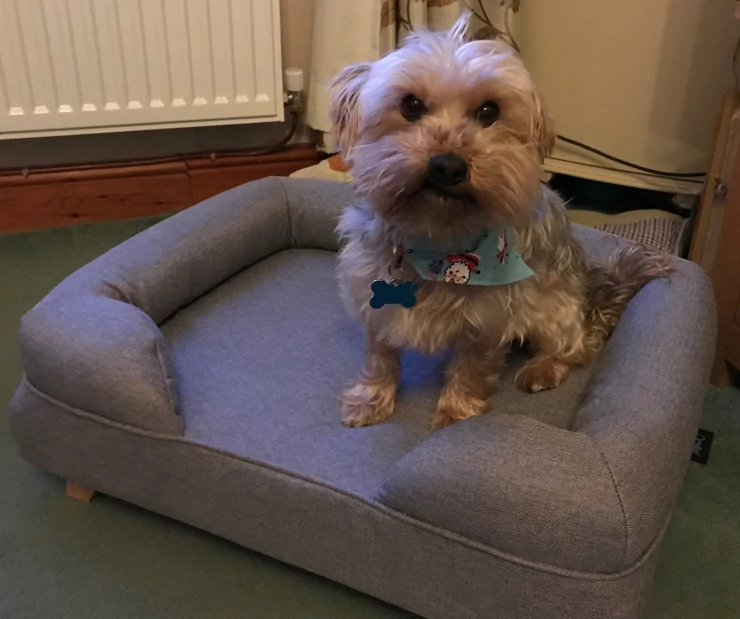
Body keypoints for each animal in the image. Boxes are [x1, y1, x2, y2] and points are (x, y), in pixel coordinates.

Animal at [330, 15, 670, 430]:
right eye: (410, 105)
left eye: (489, 112)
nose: (448, 166)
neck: (435, 237)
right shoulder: (372, 298)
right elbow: (380, 356)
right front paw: (372, 399)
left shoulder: (492, 319)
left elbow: (472, 367)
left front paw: (455, 414)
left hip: (553, 308)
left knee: (577, 348)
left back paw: (543, 369)